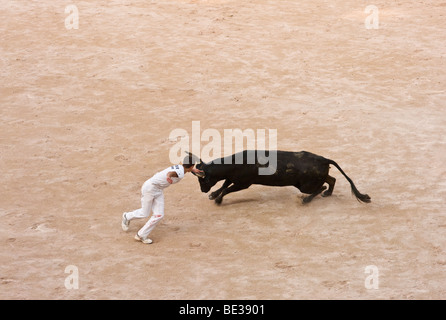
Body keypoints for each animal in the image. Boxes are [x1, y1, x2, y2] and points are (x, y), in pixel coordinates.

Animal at [186, 150, 372, 205]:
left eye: (203, 179)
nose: (203, 190)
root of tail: (324, 159)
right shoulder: (234, 179)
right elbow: (224, 186)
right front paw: (214, 195)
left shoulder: (243, 183)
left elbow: (227, 189)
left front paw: (218, 200)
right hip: (314, 179)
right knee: (331, 180)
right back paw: (327, 194)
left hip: (306, 185)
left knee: (323, 185)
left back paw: (306, 200)